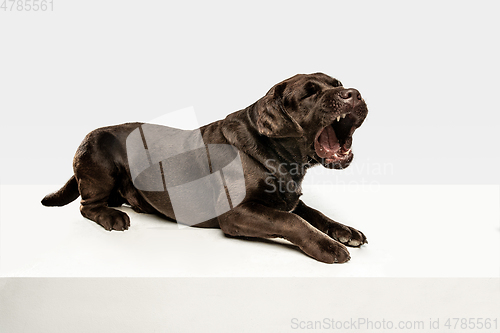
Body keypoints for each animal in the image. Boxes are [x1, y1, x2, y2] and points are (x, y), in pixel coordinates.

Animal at [42, 72, 368, 262]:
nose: (353, 93)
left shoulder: (288, 198)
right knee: (88, 205)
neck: (280, 157)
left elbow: (314, 213)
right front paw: (327, 246)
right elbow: (292, 221)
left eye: (338, 85)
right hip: (98, 149)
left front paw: (344, 230)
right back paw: (113, 216)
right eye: (309, 93)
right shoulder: (237, 212)